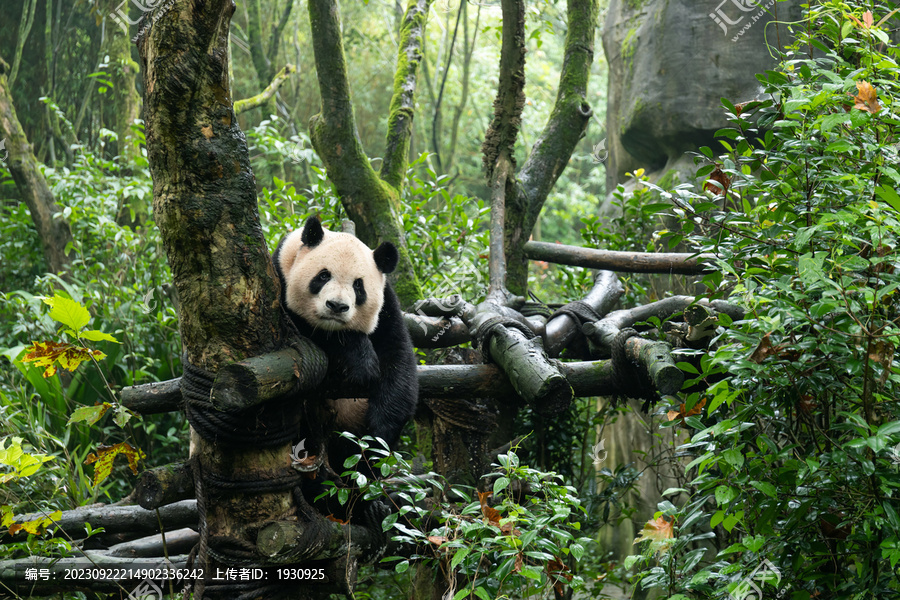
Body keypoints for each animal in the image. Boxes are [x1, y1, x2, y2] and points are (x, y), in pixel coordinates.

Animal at [272, 213, 420, 480]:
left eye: (358, 286)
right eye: (323, 276)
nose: (336, 306)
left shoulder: (387, 308)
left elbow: (398, 363)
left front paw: (376, 443)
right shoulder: (279, 281)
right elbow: (308, 332)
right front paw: (361, 361)